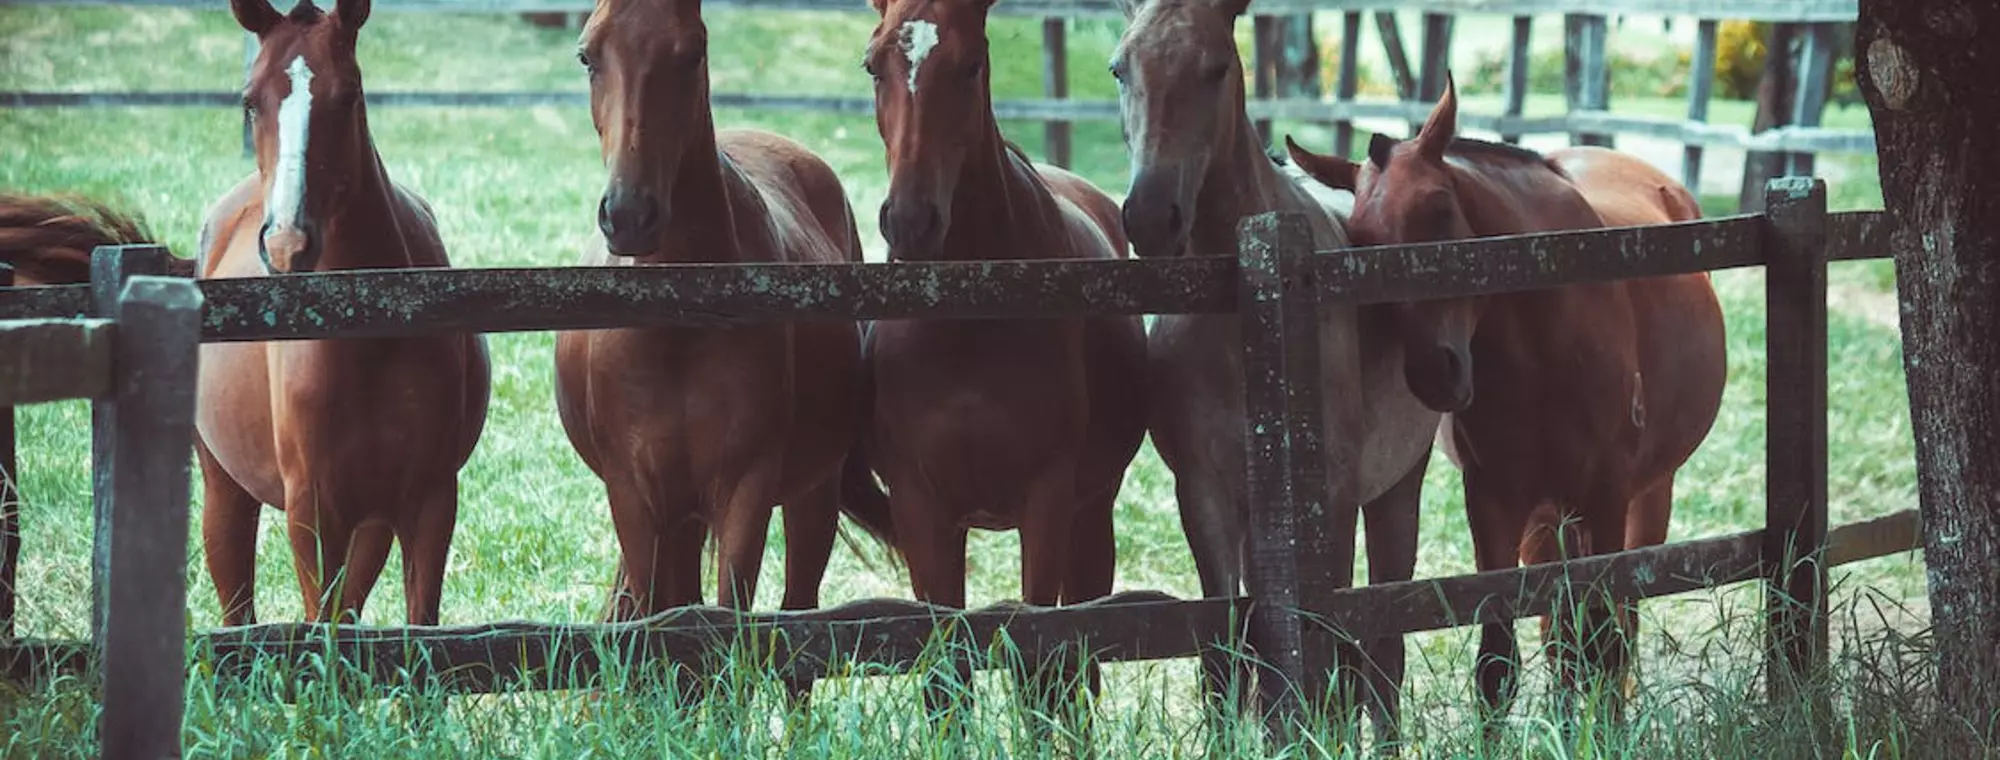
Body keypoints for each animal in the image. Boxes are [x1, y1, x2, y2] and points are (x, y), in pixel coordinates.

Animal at [190, 0, 492, 628]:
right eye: (250, 100)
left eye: (349, 94)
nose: (286, 244)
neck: (369, 325)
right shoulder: (312, 508)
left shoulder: (428, 501)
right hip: (225, 493)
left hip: (370, 521)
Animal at [548, 0, 892, 700]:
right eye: (588, 54)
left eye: (692, 53)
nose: (630, 215)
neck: (680, 319)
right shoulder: (637, 499)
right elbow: (664, 636)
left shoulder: (745, 491)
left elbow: (732, 635)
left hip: (811, 496)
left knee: (799, 632)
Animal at [856, 0, 1152, 724]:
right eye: (873, 65)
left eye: (970, 65)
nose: (911, 221)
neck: (971, 315)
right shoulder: (921, 507)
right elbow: (946, 676)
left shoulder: (1047, 500)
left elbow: (1041, 666)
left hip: (1091, 514)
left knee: (1081, 661)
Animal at [1112, 0, 1440, 744]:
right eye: (1120, 68)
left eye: (1215, 67)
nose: (1149, 217)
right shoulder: (1203, 493)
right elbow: (1228, 651)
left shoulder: (1333, 496)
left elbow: (1333, 651)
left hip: (1396, 488)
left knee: (1384, 648)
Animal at [1288, 78, 1728, 732]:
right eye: (1361, 242)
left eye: (1440, 210)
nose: (1433, 373)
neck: (1546, 335)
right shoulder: (1496, 502)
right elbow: (1499, 663)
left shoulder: (1606, 495)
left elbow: (1604, 640)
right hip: (1548, 516)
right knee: (1561, 633)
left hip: (1646, 495)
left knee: (1614, 625)